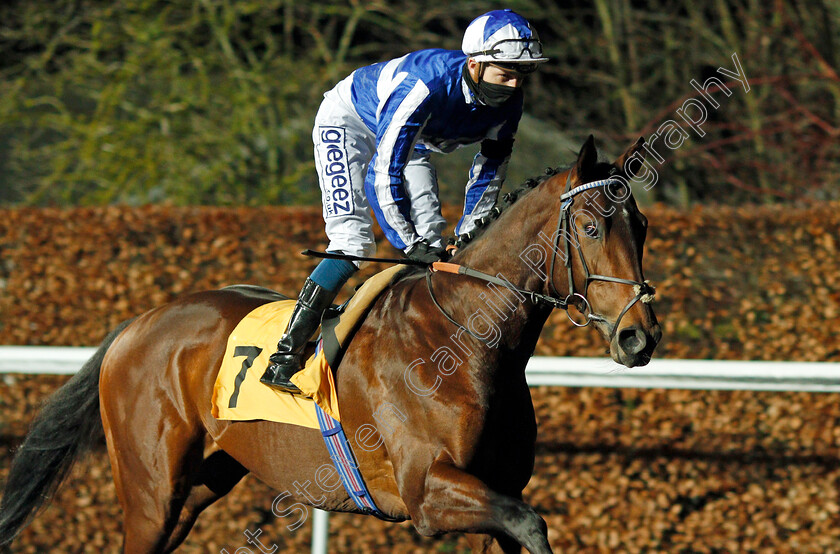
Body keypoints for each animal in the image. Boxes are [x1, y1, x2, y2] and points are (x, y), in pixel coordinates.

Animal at [0, 135, 664, 552]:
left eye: (641, 225)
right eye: (590, 226)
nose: (640, 334)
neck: (465, 335)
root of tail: (138, 322)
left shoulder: (495, 489)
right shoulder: (427, 493)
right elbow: (530, 524)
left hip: (203, 480)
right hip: (150, 489)